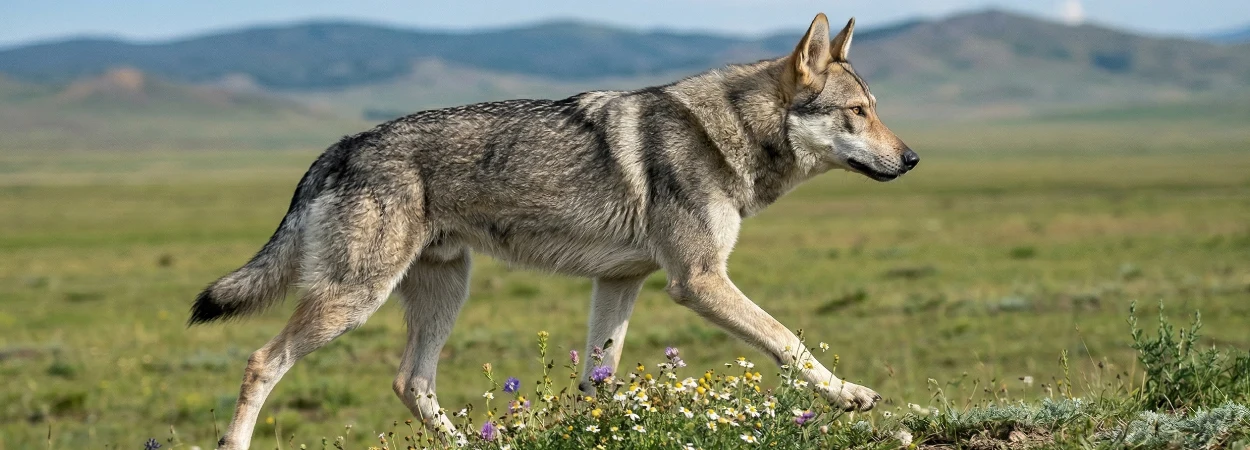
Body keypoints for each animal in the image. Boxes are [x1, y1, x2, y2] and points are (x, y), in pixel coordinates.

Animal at [191, 13, 917, 449]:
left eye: (876, 109)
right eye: (857, 112)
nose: (912, 158)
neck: (725, 135)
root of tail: (337, 148)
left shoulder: (620, 281)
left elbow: (600, 379)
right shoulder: (698, 281)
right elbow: (789, 342)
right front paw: (849, 395)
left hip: (444, 292)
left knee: (411, 382)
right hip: (354, 299)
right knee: (262, 361)